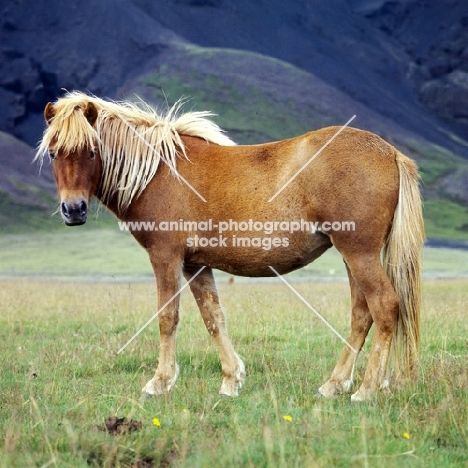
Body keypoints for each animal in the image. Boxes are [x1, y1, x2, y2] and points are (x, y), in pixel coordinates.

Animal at [35, 91, 424, 402]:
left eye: (91, 152)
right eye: (53, 153)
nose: (73, 210)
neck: (158, 171)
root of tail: (390, 153)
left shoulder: (166, 257)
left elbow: (167, 317)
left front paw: (159, 383)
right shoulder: (195, 264)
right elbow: (213, 318)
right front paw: (231, 381)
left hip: (359, 253)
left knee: (384, 306)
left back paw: (366, 389)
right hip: (351, 255)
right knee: (362, 313)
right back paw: (334, 384)